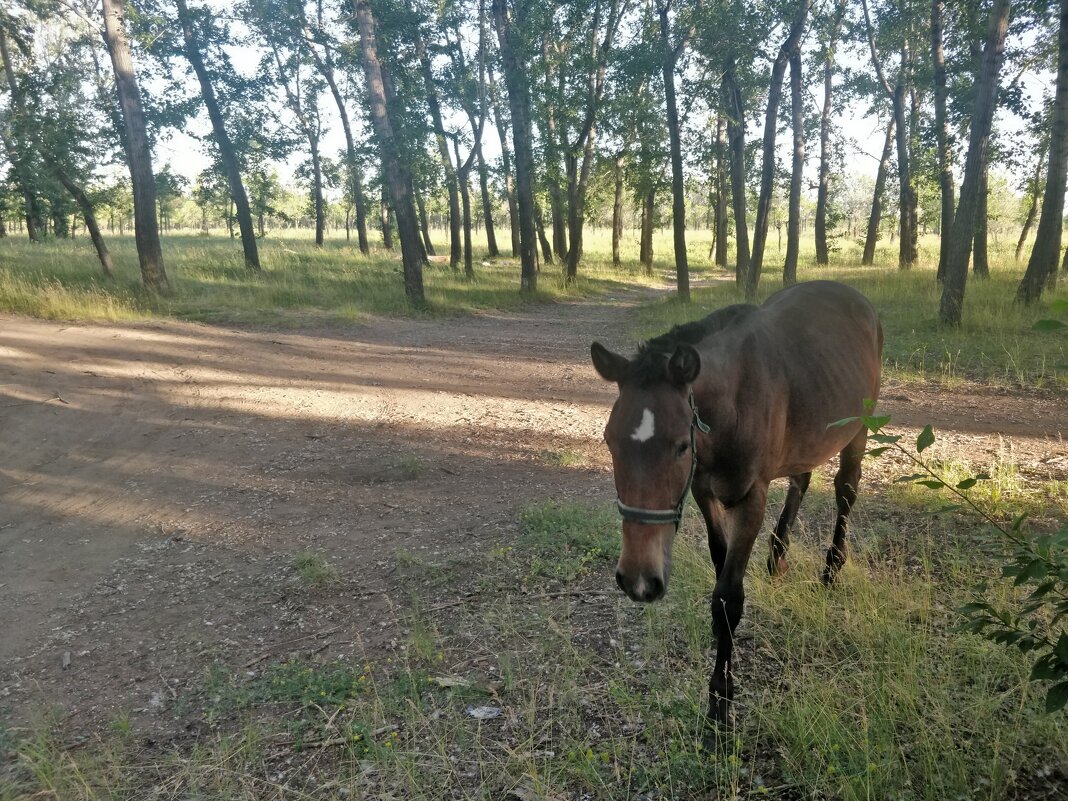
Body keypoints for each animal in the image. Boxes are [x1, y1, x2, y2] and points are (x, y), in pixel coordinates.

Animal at [589, 279, 880, 726]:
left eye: (680, 446)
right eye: (609, 441)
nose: (638, 579)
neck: (732, 405)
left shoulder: (749, 500)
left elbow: (728, 597)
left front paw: (721, 697)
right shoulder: (703, 490)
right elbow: (719, 560)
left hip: (857, 430)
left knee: (845, 490)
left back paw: (831, 570)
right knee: (801, 478)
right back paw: (777, 557)